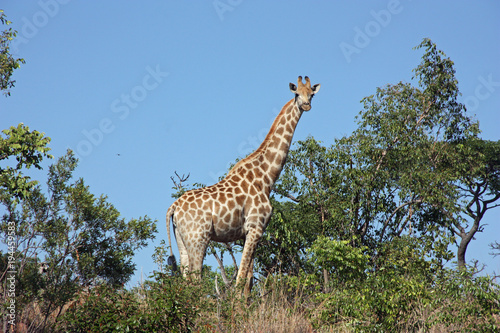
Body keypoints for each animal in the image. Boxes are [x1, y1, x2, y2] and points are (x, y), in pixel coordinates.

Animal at [165, 76, 320, 294]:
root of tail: (174, 207)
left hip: (182, 239)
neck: (266, 177)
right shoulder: (255, 227)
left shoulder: (252, 231)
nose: (306, 105)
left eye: (312, 94)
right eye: (297, 93)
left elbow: (248, 282)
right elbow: (240, 281)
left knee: (186, 280)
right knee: (195, 280)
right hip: (198, 238)